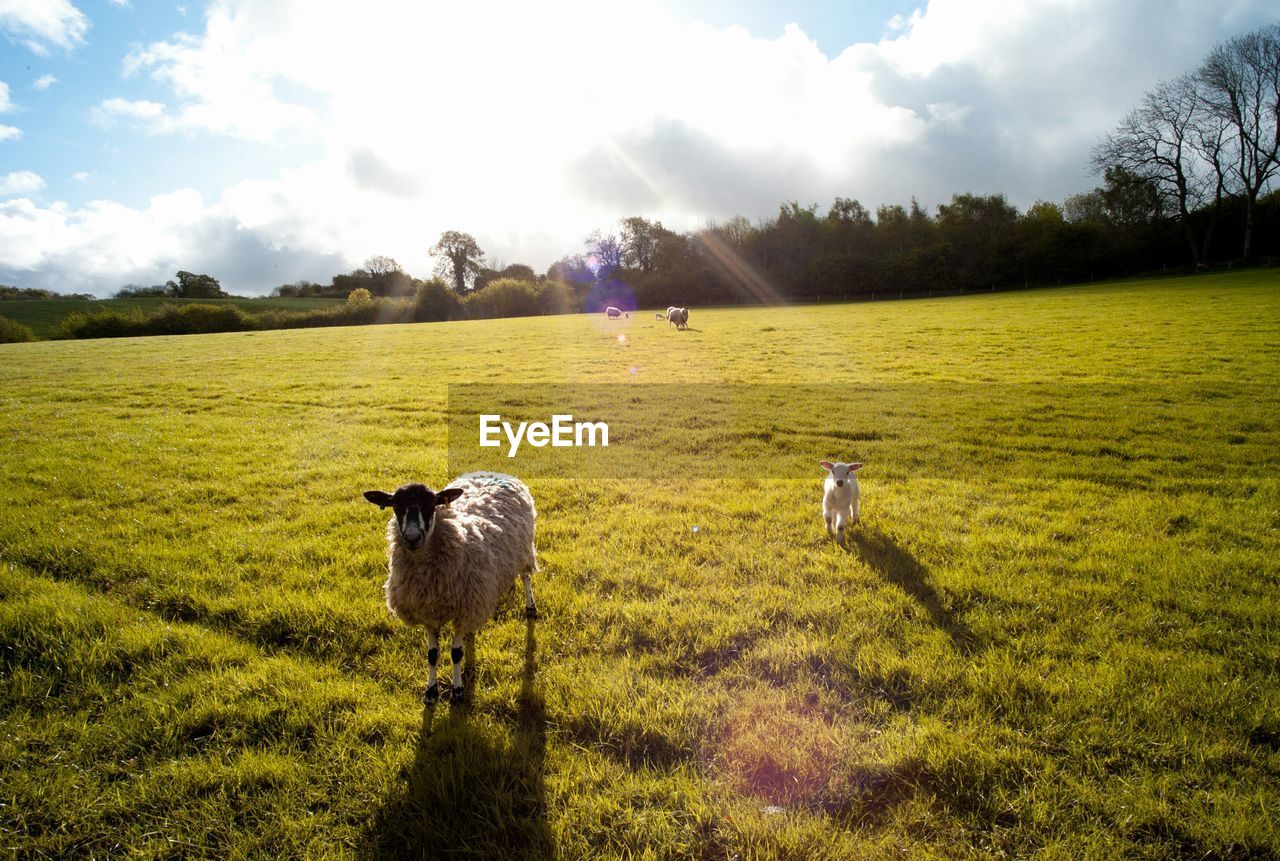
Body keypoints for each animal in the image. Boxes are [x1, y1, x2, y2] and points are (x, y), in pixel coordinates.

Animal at [363, 473, 537, 701]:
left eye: (431, 504)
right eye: (396, 506)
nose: (412, 538)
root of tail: (494, 473)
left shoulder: (464, 608)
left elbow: (456, 654)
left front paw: (457, 690)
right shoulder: (427, 612)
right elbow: (432, 655)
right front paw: (430, 691)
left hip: (524, 550)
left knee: (526, 577)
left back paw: (531, 608)